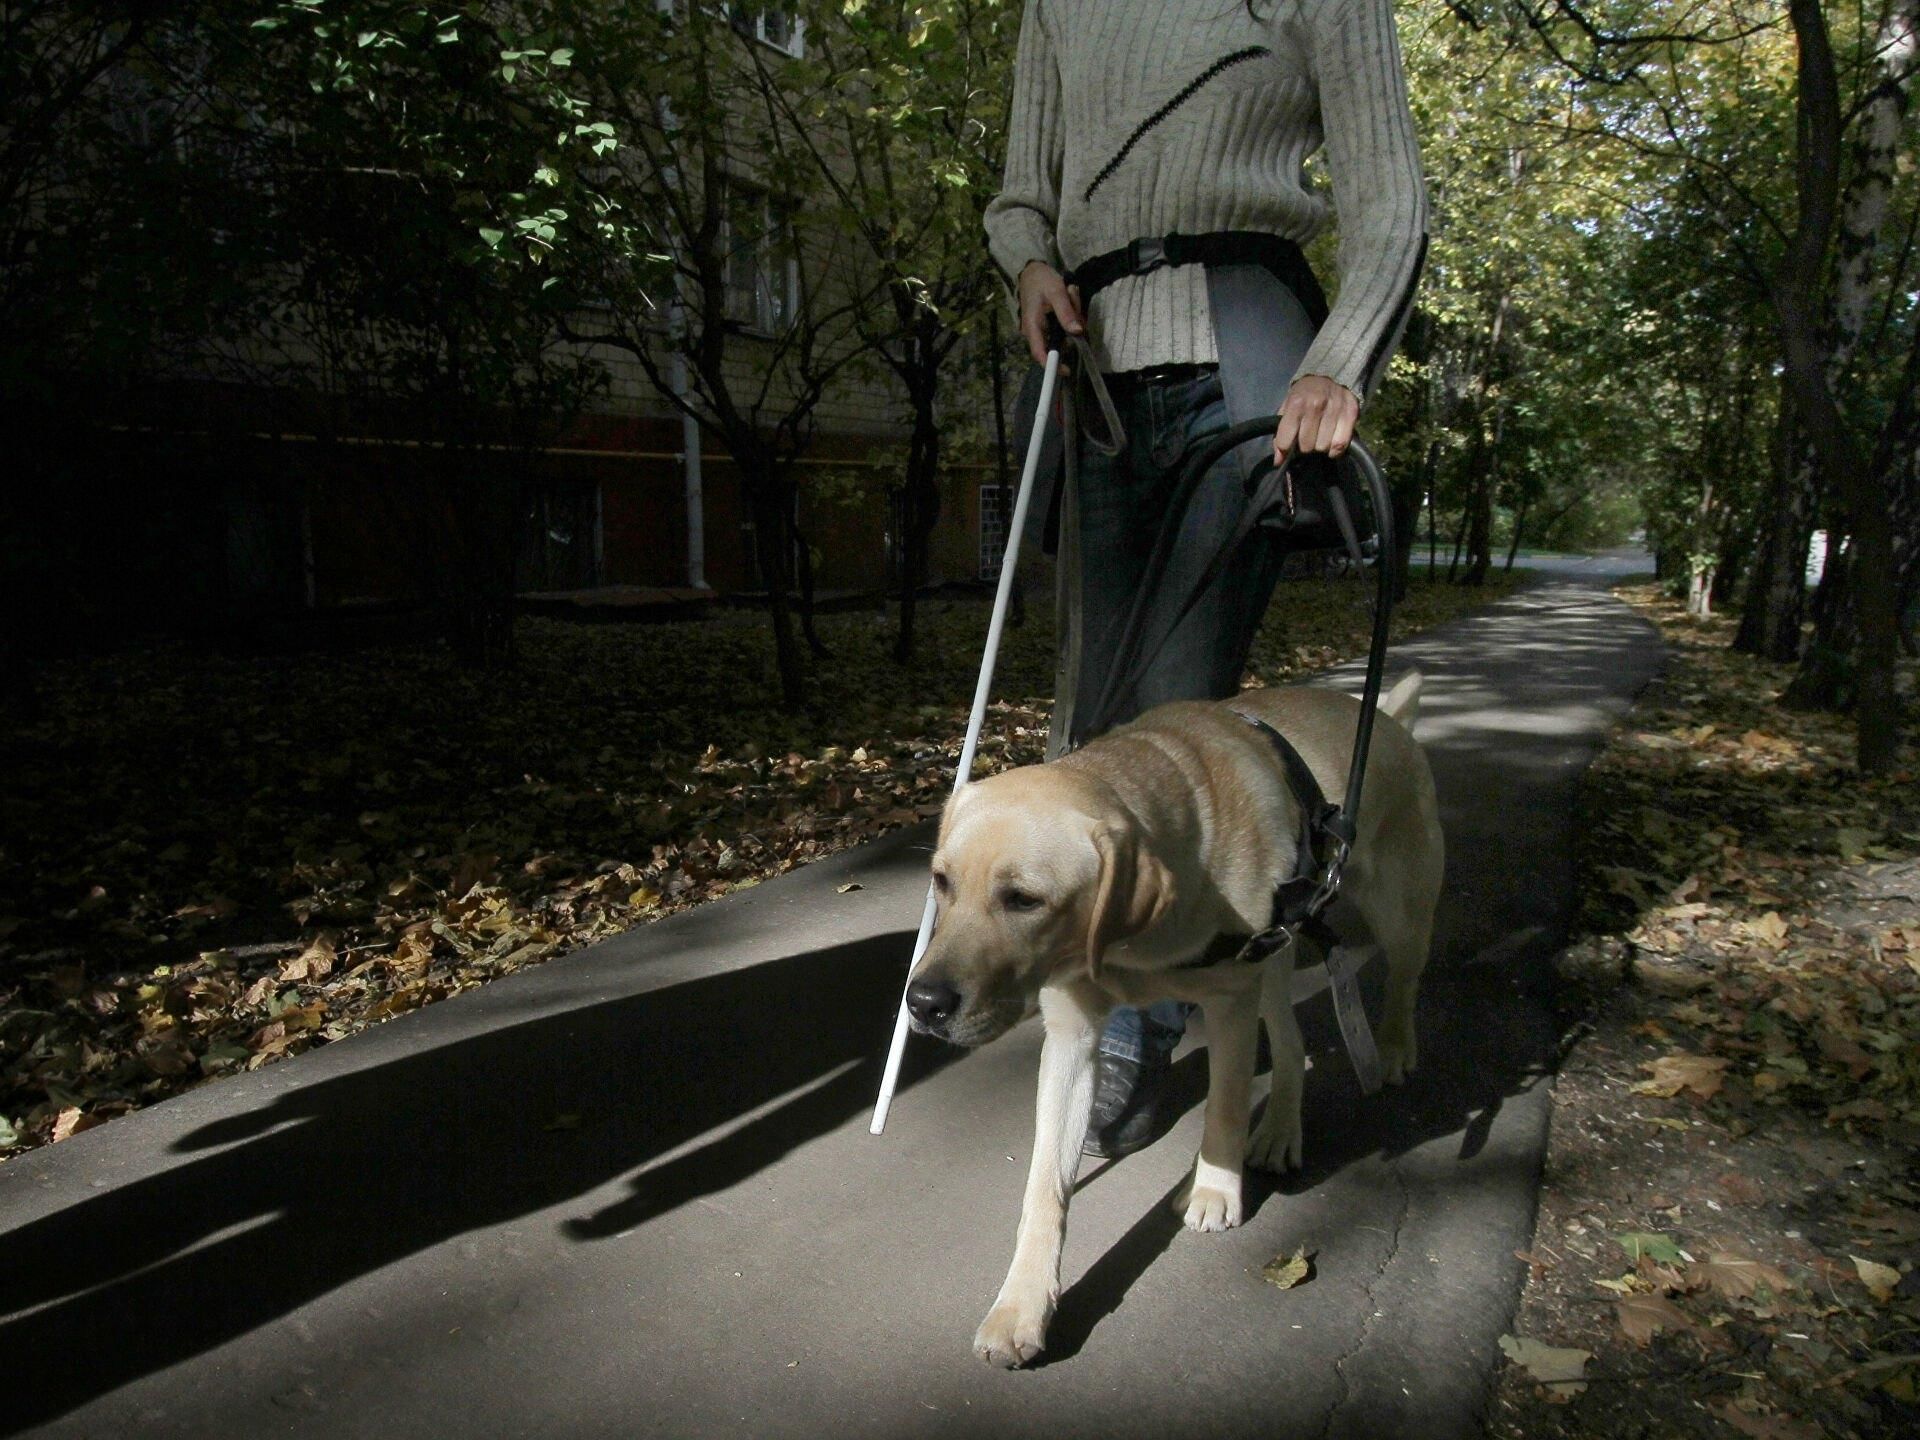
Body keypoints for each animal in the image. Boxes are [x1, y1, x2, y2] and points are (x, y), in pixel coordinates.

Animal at [910, 672, 1443, 1367]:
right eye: (941, 881)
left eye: (1024, 900)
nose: (922, 1003)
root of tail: (1386, 716)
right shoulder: (1072, 1041)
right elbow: (1044, 1188)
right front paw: (1022, 1304)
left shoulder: (1230, 1005)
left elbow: (1224, 1105)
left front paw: (1216, 1187)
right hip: (1274, 963)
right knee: (1292, 1043)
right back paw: (1279, 1129)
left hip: (1393, 914)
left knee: (1404, 978)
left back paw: (1396, 1047)